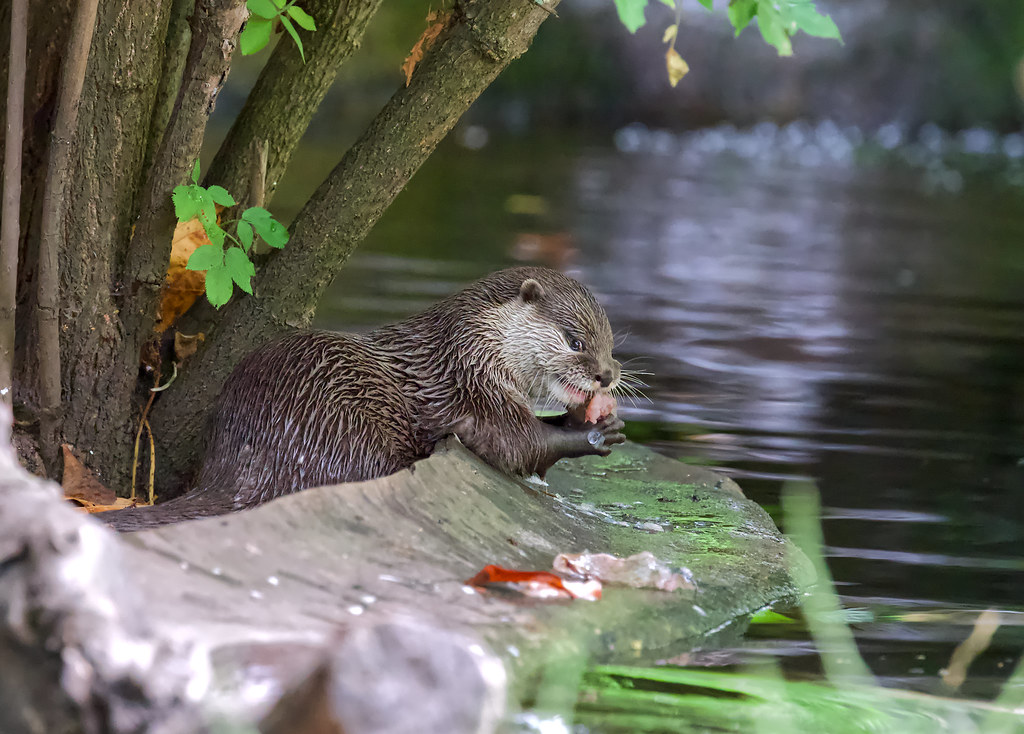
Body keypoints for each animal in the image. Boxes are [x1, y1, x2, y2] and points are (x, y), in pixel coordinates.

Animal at [104, 267, 625, 531]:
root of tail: (242, 461)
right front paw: (592, 434)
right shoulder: (472, 388)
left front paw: (585, 421)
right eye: (575, 341)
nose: (606, 375)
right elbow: (519, 446)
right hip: (349, 430)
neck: (473, 345)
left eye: (610, 343)